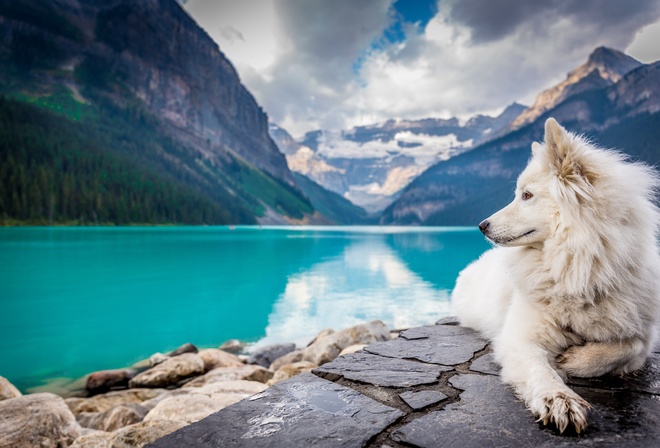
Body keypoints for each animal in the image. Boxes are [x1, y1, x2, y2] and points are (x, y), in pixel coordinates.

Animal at [452, 118, 660, 434]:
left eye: (526, 195)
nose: (481, 225)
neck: (578, 269)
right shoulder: (520, 338)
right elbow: (540, 371)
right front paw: (559, 399)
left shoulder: (643, 335)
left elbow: (626, 347)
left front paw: (574, 360)